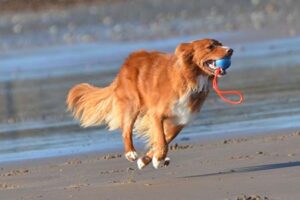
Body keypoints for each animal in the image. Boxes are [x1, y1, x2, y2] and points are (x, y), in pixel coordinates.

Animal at [67, 38, 233, 170]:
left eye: (220, 44)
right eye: (210, 47)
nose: (230, 50)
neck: (189, 79)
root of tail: (127, 61)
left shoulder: (180, 120)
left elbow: (163, 139)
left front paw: (149, 159)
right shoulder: (156, 114)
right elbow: (162, 140)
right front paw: (157, 158)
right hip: (133, 104)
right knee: (126, 130)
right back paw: (131, 153)